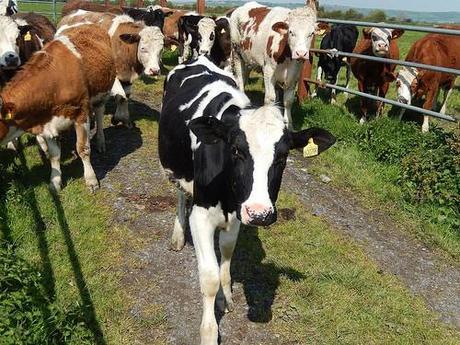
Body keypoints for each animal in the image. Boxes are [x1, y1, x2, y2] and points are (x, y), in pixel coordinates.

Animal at [0, 24, 116, 191]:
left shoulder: (81, 113)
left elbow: (83, 149)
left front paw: (91, 180)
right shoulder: (46, 124)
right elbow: (54, 155)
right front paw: (55, 182)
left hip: (102, 94)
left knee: (100, 115)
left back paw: (100, 141)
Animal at [158, 55, 334, 344]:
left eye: (283, 156)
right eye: (236, 150)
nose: (260, 213)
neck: (227, 197)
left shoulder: (239, 213)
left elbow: (227, 253)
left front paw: (226, 296)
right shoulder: (202, 216)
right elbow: (209, 278)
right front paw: (209, 332)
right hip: (177, 169)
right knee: (181, 195)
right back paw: (177, 235)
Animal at [230, 1, 328, 129]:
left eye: (311, 33)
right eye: (291, 32)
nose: (301, 53)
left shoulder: (294, 74)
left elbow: (288, 100)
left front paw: (289, 125)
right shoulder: (268, 71)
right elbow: (270, 99)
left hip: (249, 60)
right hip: (237, 54)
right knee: (240, 81)